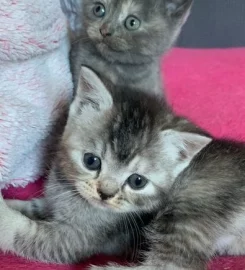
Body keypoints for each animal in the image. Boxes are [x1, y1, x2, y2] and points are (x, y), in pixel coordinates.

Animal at [0, 67, 199, 264]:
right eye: (91, 161)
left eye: (137, 181)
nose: (105, 194)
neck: (68, 191)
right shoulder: (52, 202)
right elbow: (35, 207)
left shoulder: (71, 240)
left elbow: (24, 232)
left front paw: (4, 216)